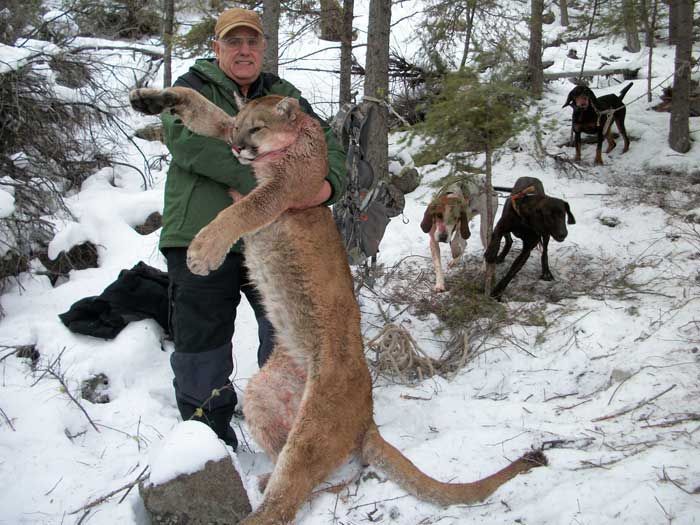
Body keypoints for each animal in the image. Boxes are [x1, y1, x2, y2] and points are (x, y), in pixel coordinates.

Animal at [129, 86, 547, 525]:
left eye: (257, 129)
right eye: (242, 125)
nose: (238, 147)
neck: (285, 147)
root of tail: (368, 417)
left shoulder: (283, 190)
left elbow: (240, 210)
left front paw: (202, 252)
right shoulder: (229, 136)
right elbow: (201, 107)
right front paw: (152, 100)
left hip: (314, 429)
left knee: (288, 499)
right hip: (263, 396)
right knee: (302, 475)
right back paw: (264, 479)